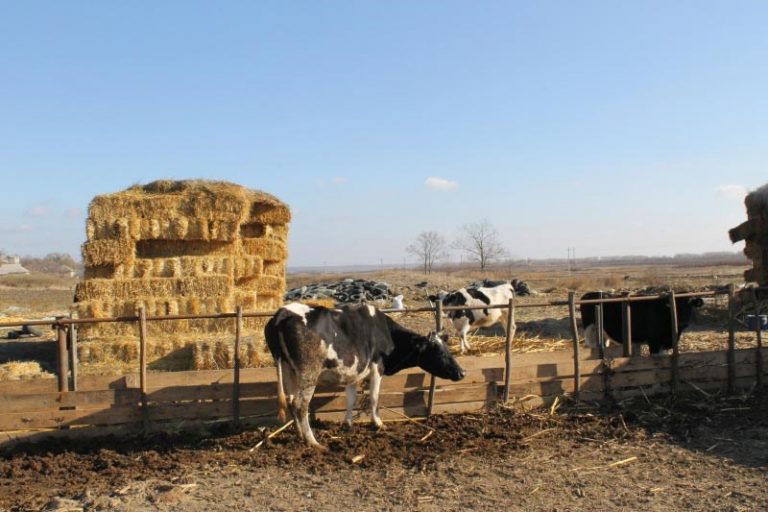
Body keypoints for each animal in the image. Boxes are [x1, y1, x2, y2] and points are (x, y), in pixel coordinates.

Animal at [264, 302, 468, 450]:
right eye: (438, 352)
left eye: (447, 348)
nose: (462, 372)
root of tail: (284, 312)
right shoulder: (377, 366)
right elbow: (374, 397)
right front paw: (378, 423)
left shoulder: (352, 371)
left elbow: (351, 398)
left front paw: (348, 423)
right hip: (308, 373)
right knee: (301, 404)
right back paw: (312, 441)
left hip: (288, 369)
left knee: (291, 400)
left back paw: (299, 434)